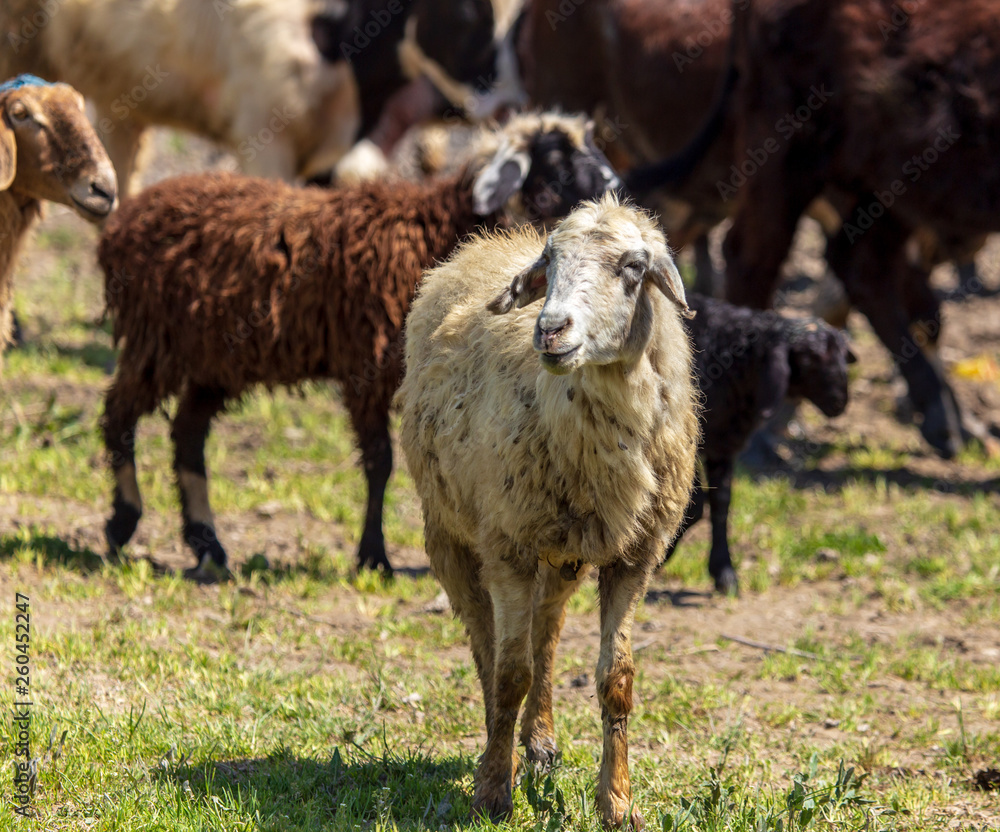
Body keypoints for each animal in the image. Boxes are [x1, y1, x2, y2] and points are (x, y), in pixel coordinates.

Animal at [97, 111, 621, 582]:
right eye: (555, 162)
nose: (615, 189)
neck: (435, 228)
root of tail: (126, 218)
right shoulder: (366, 365)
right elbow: (380, 464)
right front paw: (374, 556)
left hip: (216, 359)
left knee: (187, 434)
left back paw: (207, 544)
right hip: (156, 340)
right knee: (118, 414)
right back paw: (124, 522)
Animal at [397, 193, 700, 829]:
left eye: (634, 268)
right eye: (551, 264)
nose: (550, 329)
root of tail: (492, 240)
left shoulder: (635, 556)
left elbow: (616, 680)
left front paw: (617, 803)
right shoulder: (508, 545)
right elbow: (510, 673)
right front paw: (492, 791)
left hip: (562, 549)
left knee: (547, 629)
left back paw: (539, 741)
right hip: (452, 532)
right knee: (488, 643)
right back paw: (504, 744)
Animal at [663, 294, 854, 596]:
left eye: (842, 357)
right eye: (809, 359)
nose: (840, 401)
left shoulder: (723, 444)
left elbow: (721, 502)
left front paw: (724, 572)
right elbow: (693, 505)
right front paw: (660, 557)